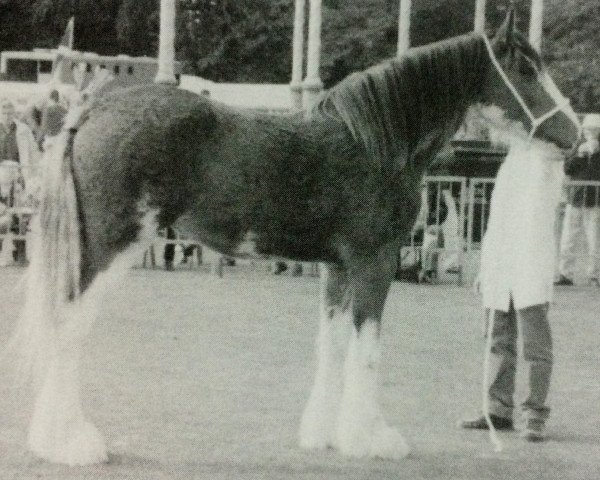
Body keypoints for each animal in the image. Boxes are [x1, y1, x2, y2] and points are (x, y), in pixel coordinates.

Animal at [8, 10, 580, 464]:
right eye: (526, 69)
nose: (576, 136)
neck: (375, 141)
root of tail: (90, 111)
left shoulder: (338, 267)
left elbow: (332, 343)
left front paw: (323, 434)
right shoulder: (375, 261)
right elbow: (367, 347)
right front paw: (370, 439)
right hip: (106, 251)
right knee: (69, 328)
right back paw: (72, 444)